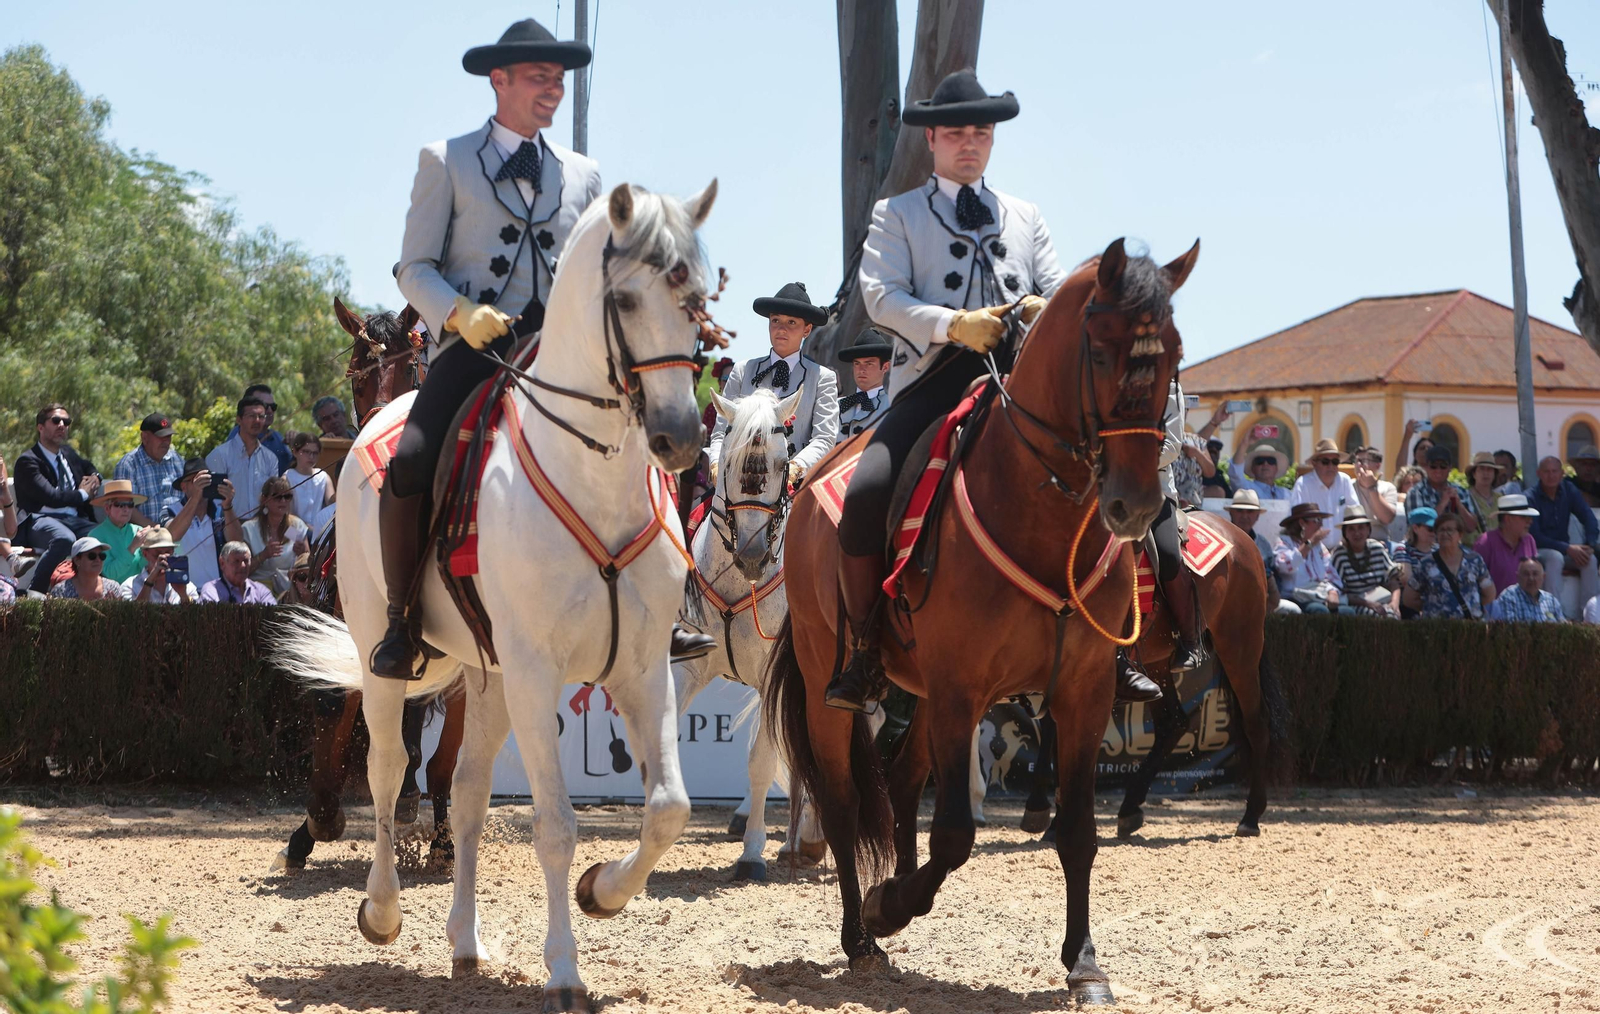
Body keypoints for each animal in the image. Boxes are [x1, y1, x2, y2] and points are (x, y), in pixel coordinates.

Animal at [272, 299, 468, 876]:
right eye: (357, 375)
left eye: (410, 371)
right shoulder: (343, 636)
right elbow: (333, 714)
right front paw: (315, 821)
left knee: (443, 759)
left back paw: (440, 838)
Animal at [767, 238, 1199, 1004]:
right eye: (1098, 352)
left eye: (1174, 353)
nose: (1138, 506)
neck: (1041, 514)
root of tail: (812, 481)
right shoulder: (963, 689)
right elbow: (955, 836)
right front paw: (890, 904)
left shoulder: (1080, 692)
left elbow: (1077, 831)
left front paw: (1085, 964)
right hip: (832, 684)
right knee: (845, 802)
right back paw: (861, 935)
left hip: (924, 692)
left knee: (901, 781)